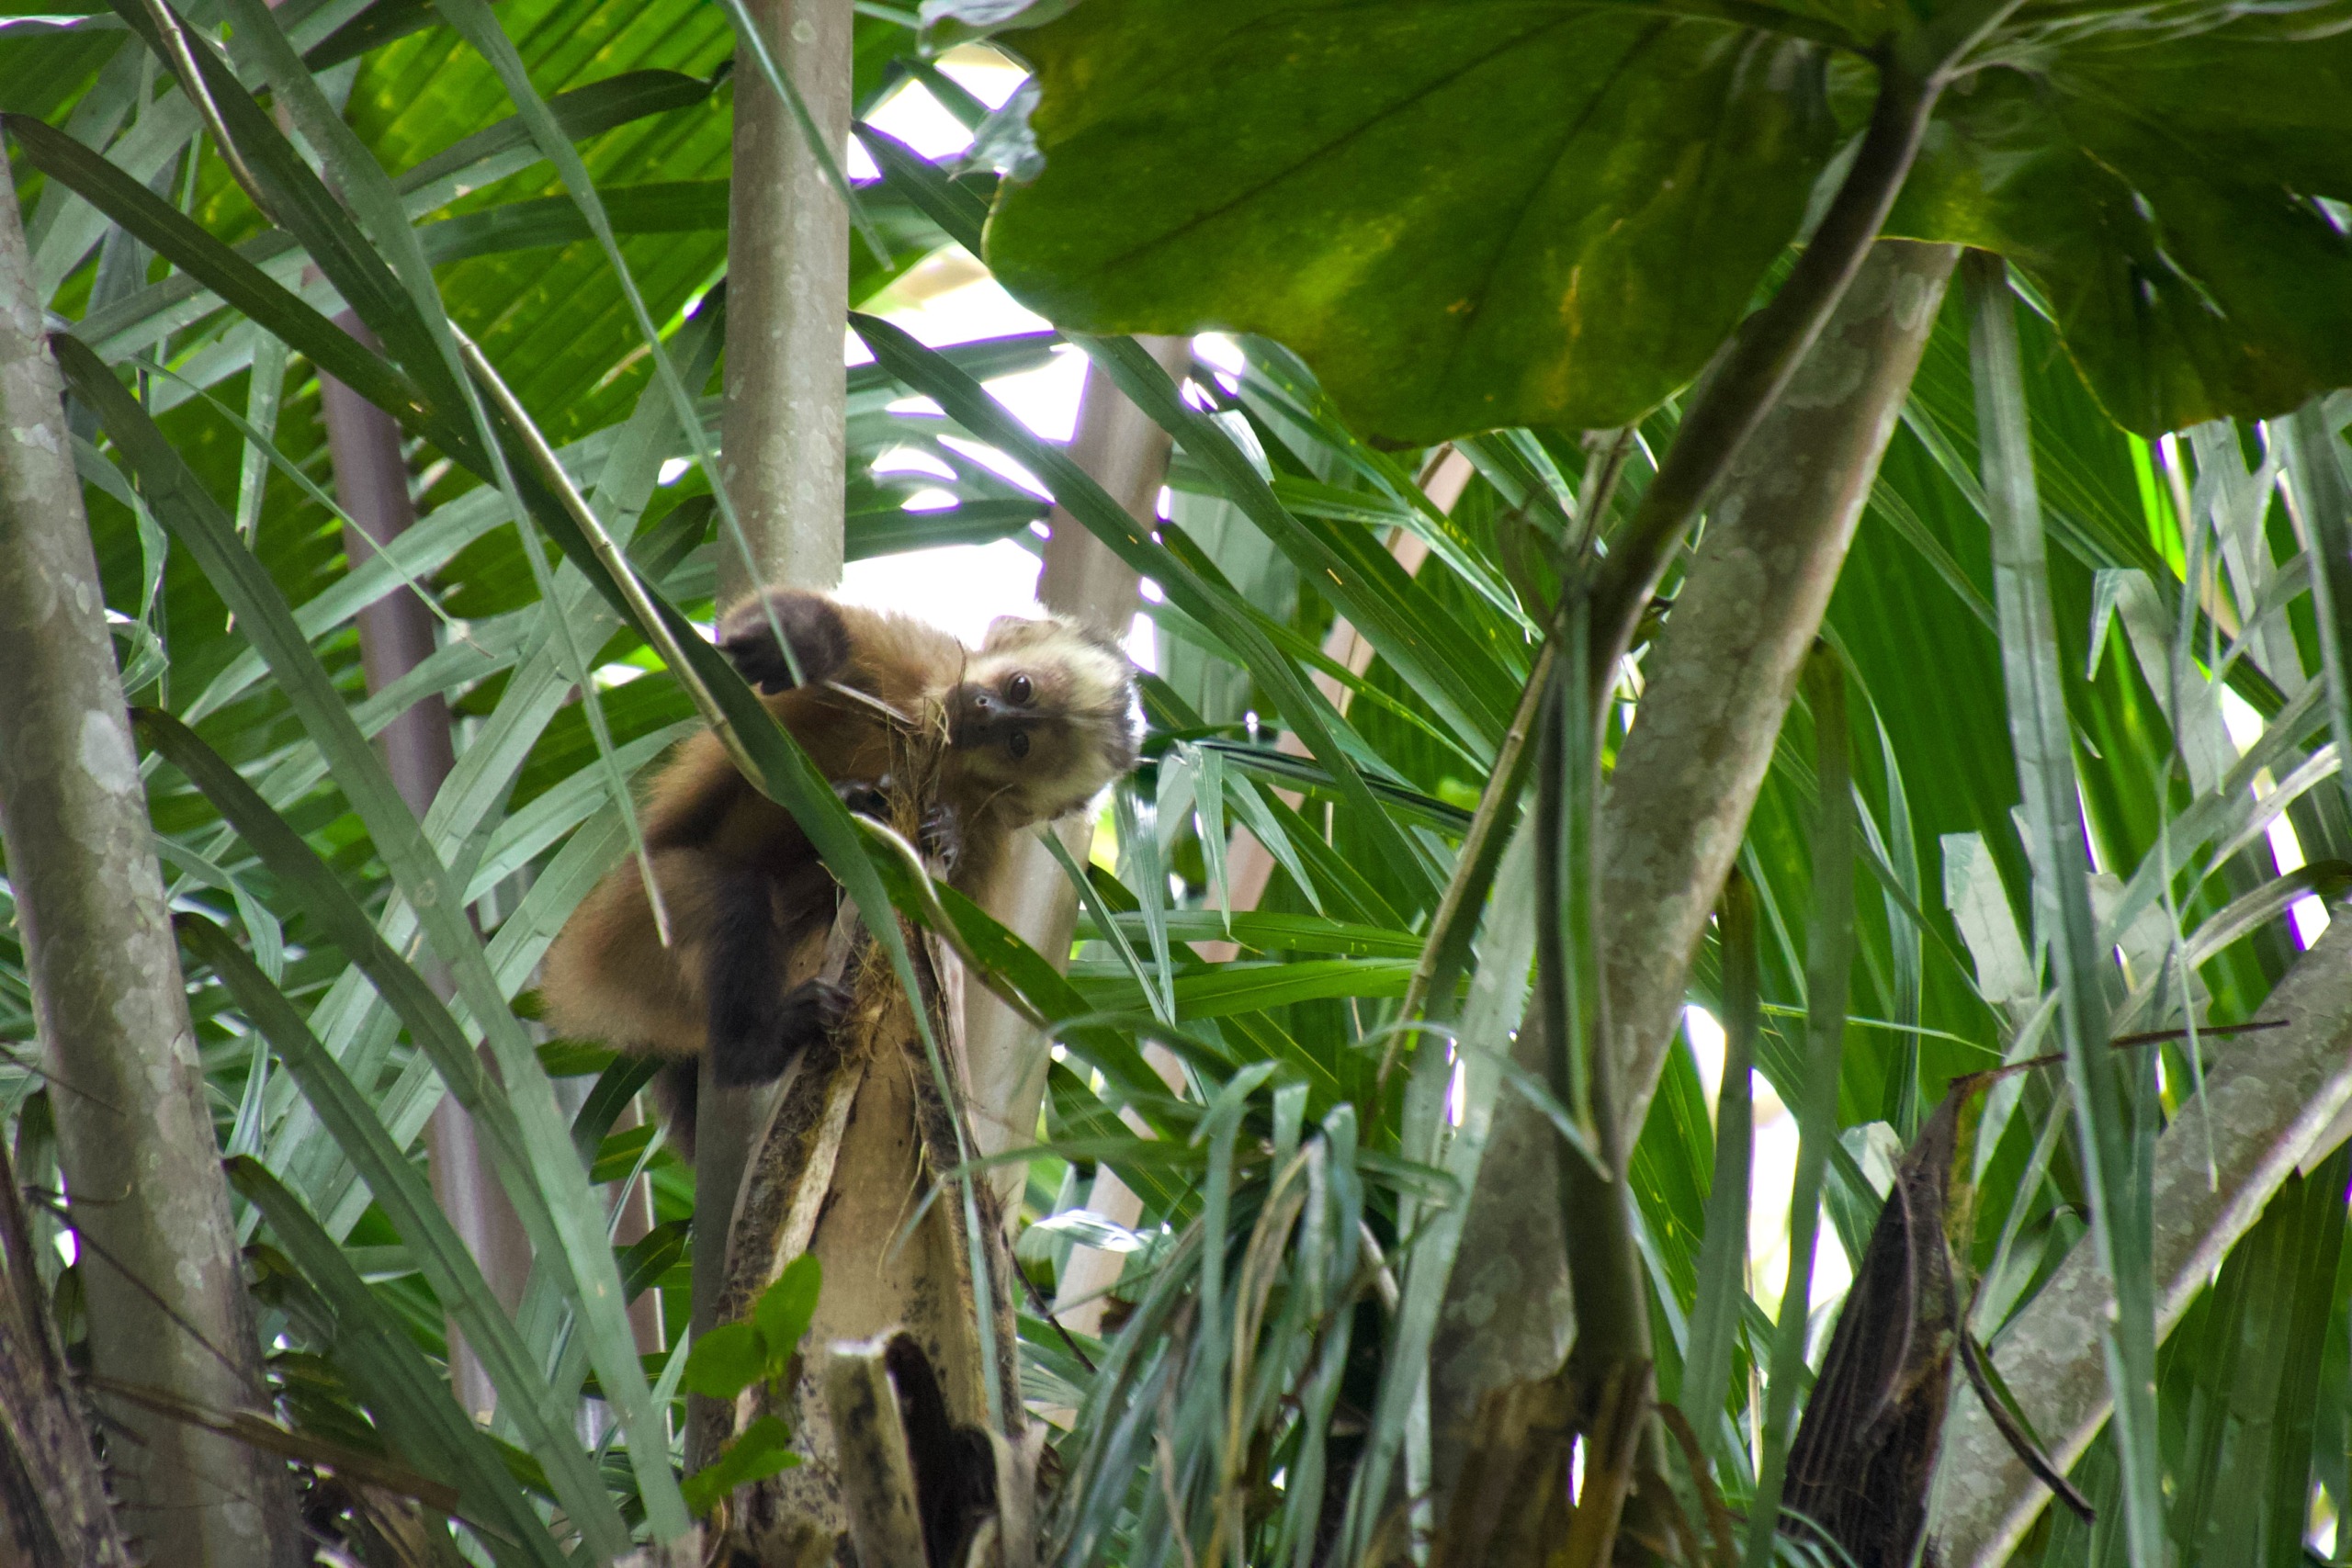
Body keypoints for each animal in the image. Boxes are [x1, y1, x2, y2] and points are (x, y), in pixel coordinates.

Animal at [543, 587, 1148, 1152]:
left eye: (1019, 741)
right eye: (1020, 688)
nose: (984, 710)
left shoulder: (994, 830)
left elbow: (947, 936)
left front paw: (943, 838)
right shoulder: (916, 657)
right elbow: (805, 629)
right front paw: (796, 646)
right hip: (623, 929)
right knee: (728, 893)